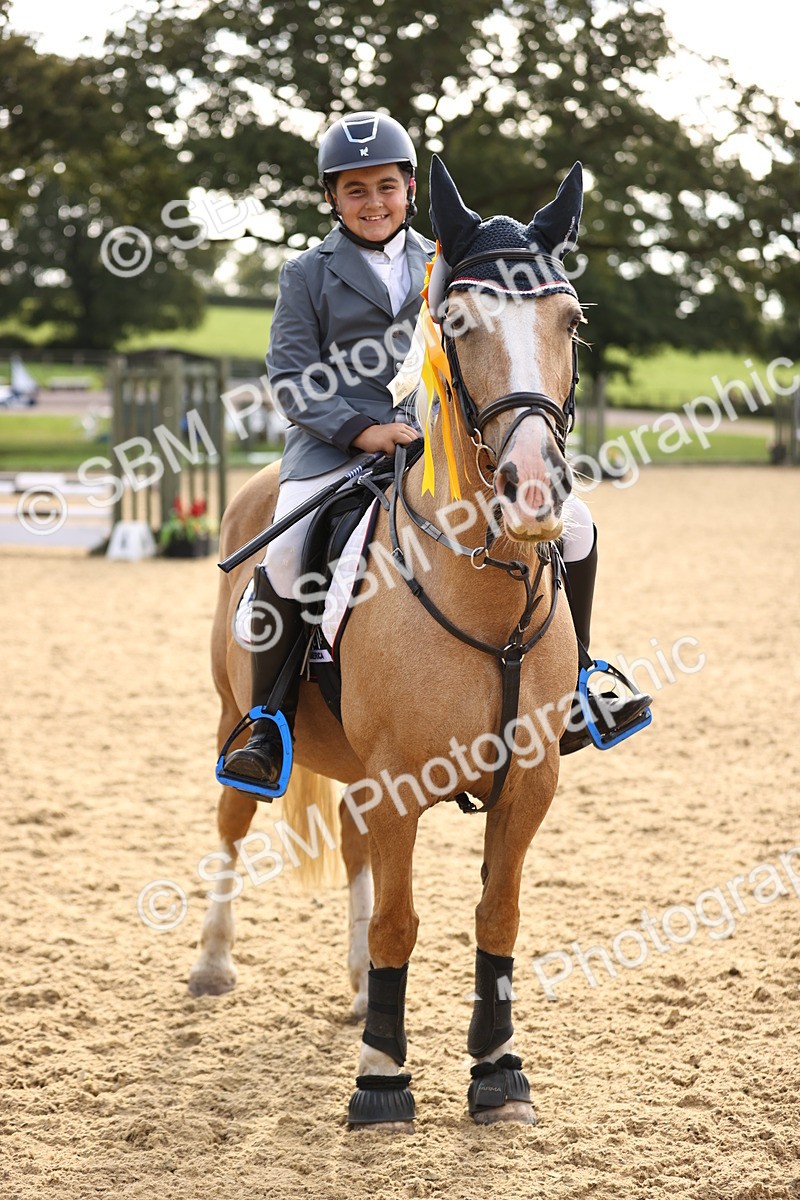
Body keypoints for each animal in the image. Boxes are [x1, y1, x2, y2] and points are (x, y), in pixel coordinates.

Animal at [189, 154, 585, 1130]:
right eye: (457, 325)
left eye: (570, 322)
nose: (533, 490)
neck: (484, 595)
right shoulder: (400, 780)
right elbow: (402, 922)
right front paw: (380, 1078)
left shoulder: (529, 783)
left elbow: (496, 917)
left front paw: (499, 1073)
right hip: (232, 719)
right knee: (231, 823)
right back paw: (214, 962)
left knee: (353, 844)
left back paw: (363, 986)